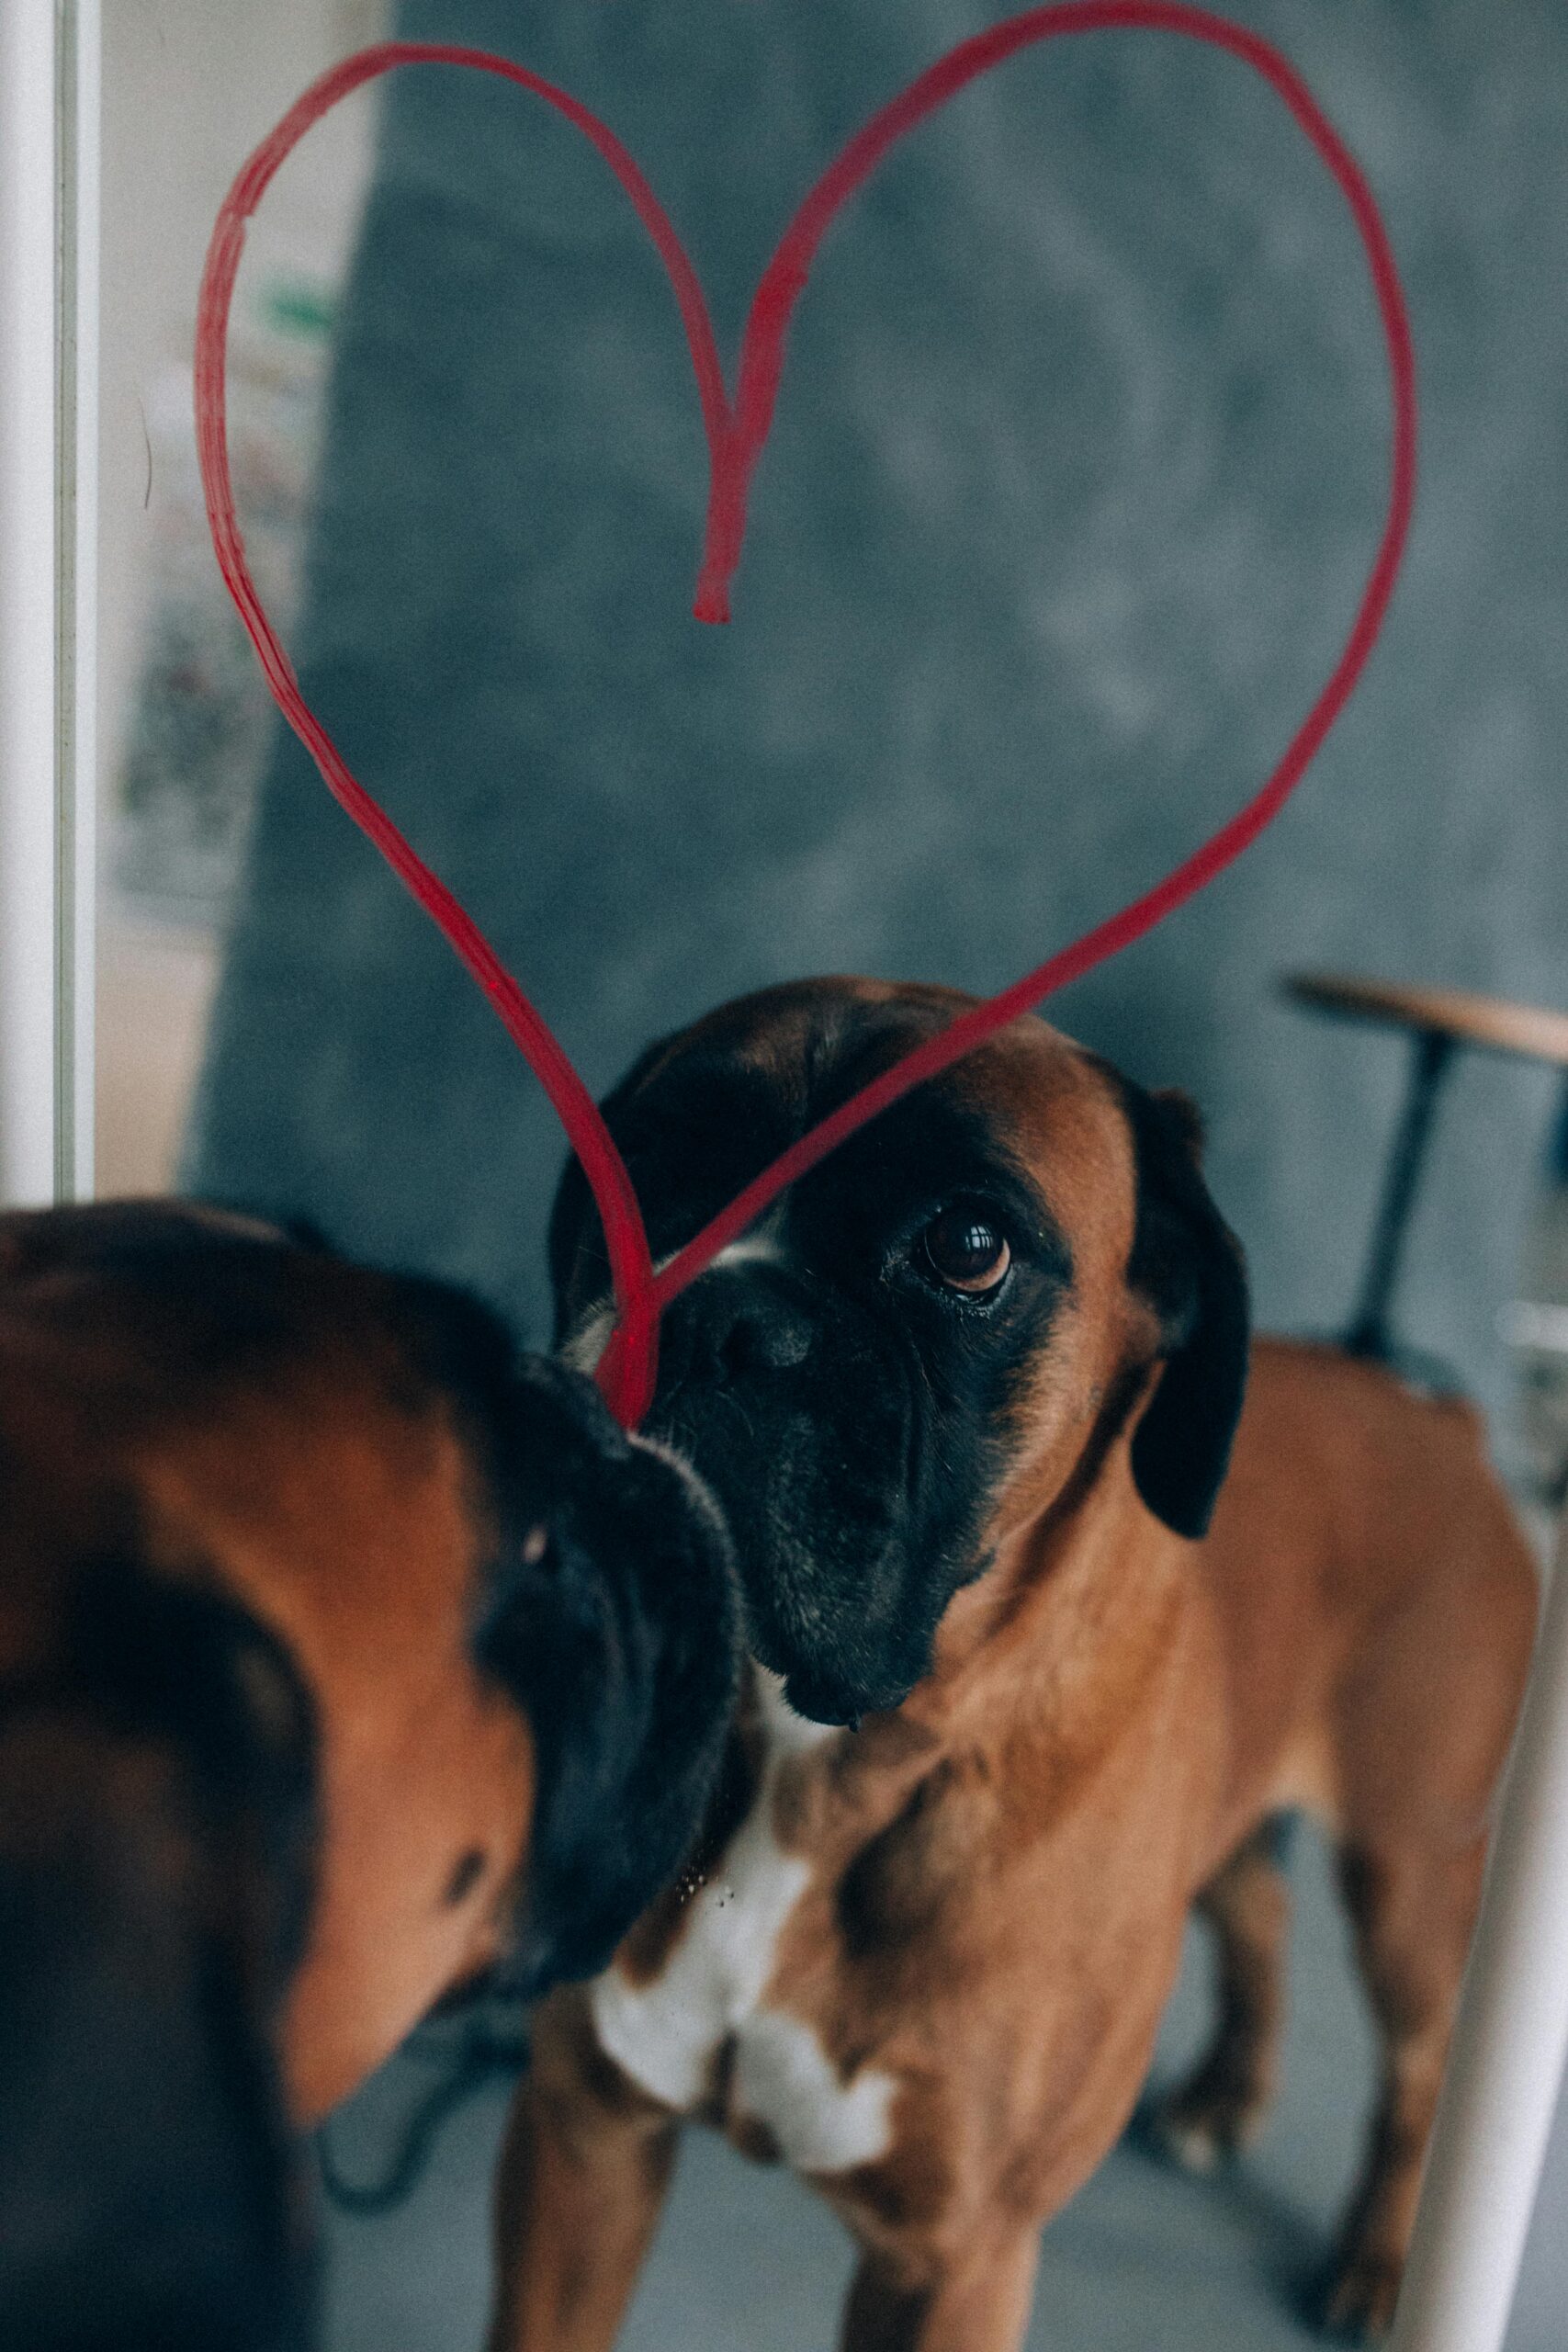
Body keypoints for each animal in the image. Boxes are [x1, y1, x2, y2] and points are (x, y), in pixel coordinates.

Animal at [495, 978, 1541, 2352]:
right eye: (653, 1163)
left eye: (968, 1247)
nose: (716, 1315)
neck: (817, 1763)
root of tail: (1447, 1422)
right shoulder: (585, 2135)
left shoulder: (955, 2260)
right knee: (1256, 1904)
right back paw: (1222, 2097)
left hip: (1407, 1869)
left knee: (1418, 2055)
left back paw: (1376, 2260)